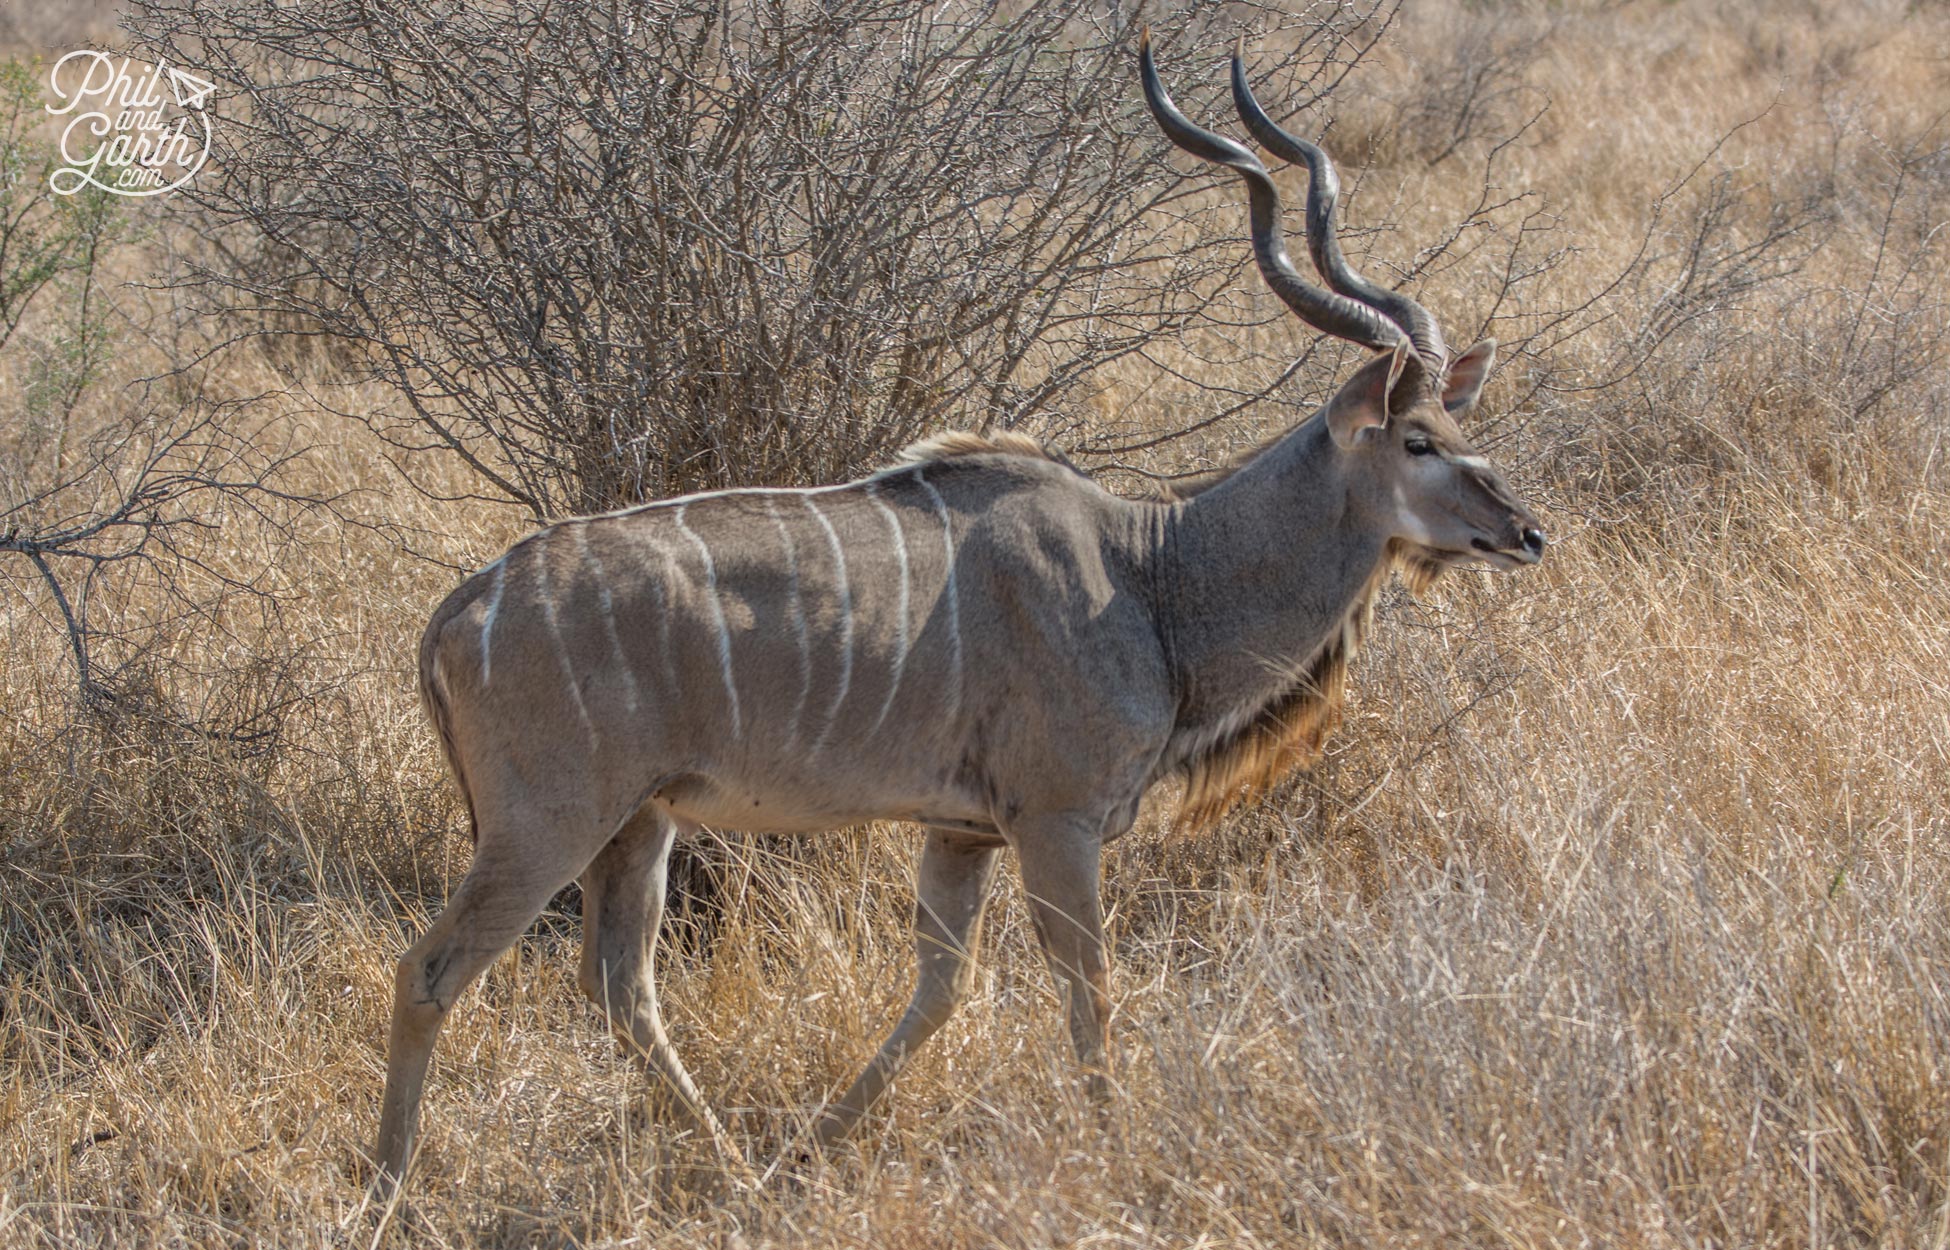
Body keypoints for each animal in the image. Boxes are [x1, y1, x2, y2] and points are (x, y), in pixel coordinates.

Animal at [372, 34, 1544, 1185]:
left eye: (1456, 423)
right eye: (1418, 440)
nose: (1526, 531)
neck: (1151, 574)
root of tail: (458, 610)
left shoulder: (960, 830)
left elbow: (939, 988)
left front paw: (813, 1149)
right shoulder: (1057, 822)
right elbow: (1089, 991)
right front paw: (1120, 1155)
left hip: (640, 823)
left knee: (619, 984)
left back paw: (737, 1170)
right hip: (548, 822)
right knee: (430, 968)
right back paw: (389, 1189)